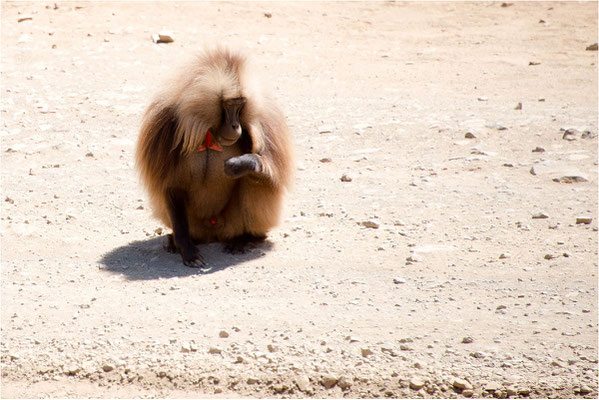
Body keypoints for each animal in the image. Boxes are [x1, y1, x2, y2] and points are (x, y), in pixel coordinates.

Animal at [137, 47, 296, 268]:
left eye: (240, 105)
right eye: (229, 105)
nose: (236, 126)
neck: (209, 131)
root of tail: (213, 234)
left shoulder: (263, 122)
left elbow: (272, 174)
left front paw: (241, 163)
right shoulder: (165, 126)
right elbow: (171, 185)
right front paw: (186, 248)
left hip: (232, 223)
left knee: (253, 181)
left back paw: (247, 238)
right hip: (197, 225)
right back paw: (178, 241)